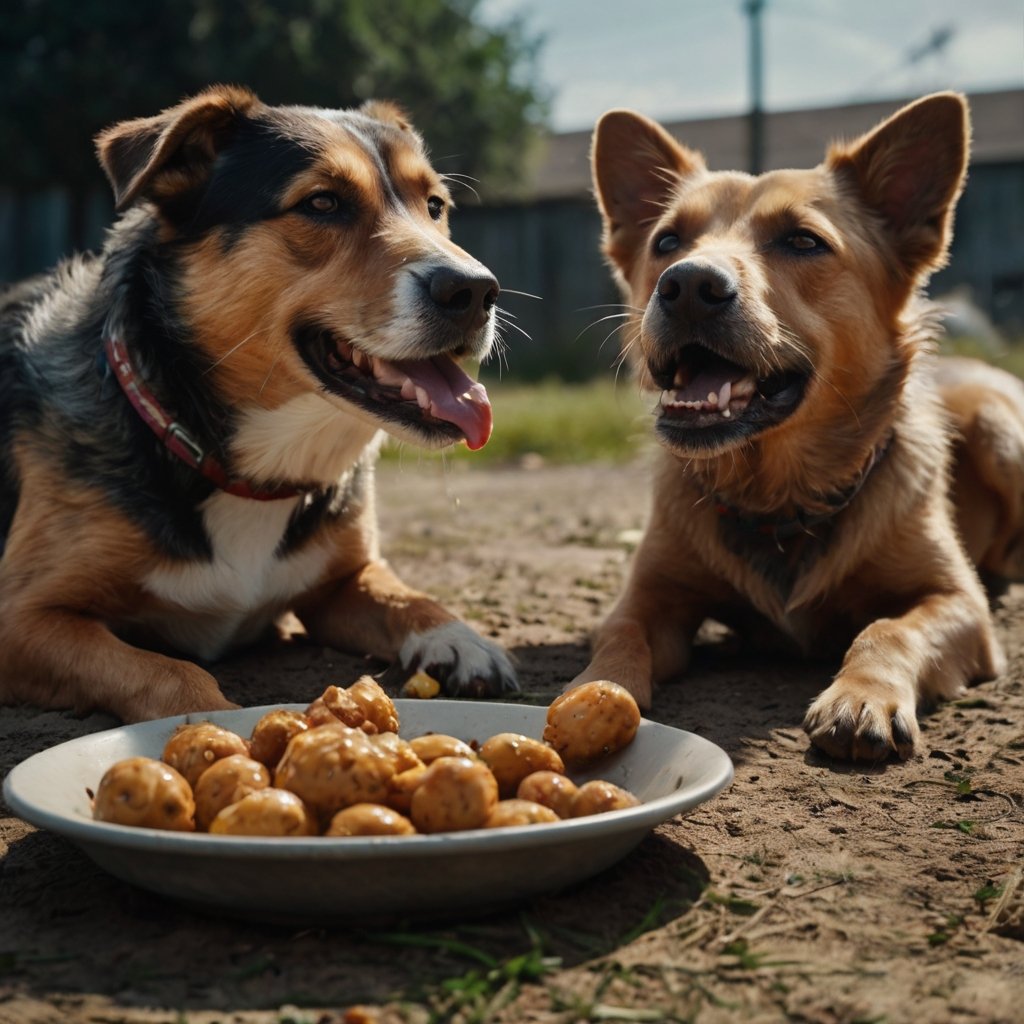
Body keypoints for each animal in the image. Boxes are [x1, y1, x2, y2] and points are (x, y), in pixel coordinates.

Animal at [573, 92, 1024, 761]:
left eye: (803, 241)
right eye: (667, 240)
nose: (687, 284)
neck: (777, 496)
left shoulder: (955, 601)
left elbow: (888, 629)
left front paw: (861, 697)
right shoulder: (652, 593)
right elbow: (619, 629)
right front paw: (591, 689)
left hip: (1000, 433)